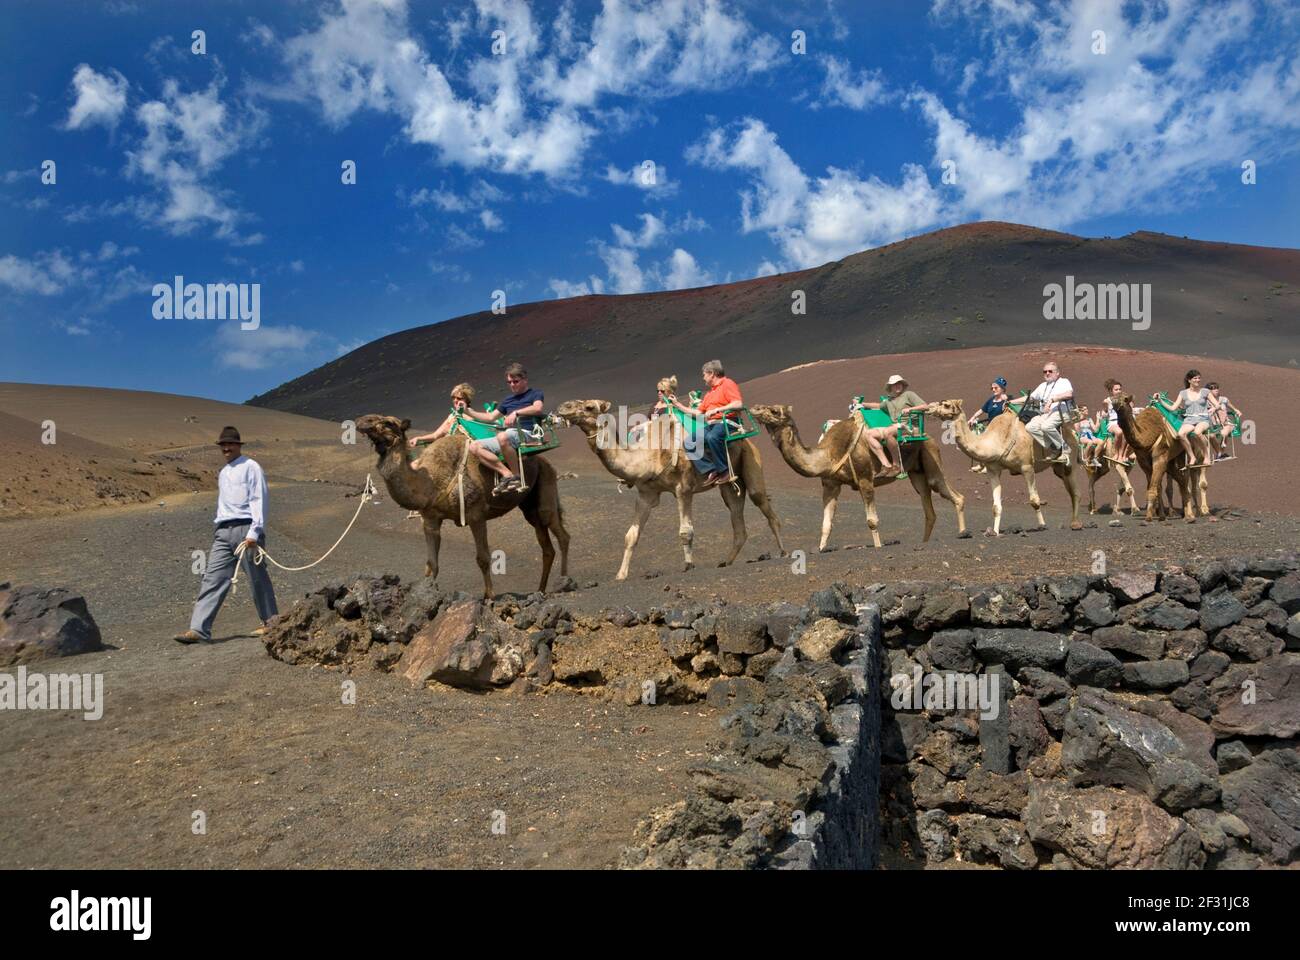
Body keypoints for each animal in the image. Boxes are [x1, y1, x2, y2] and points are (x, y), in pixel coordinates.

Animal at [353, 413, 566, 595]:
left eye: (389, 422)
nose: (361, 420)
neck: (430, 482)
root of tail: (544, 461)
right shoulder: (430, 519)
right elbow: (432, 563)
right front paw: (427, 591)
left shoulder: (475, 513)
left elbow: (483, 558)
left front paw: (489, 597)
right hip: (529, 506)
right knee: (546, 545)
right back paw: (541, 589)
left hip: (546, 486)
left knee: (561, 533)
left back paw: (563, 582)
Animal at [548, 395, 780, 574]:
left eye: (589, 406)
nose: (563, 407)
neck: (650, 454)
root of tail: (744, 436)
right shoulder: (646, 493)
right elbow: (631, 536)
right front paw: (620, 576)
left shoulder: (683, 488)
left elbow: (685, 532)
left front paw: (688, 565)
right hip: (729, 483)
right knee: (736, 513)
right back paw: (726, 561)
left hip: (751, 459)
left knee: (762, 501)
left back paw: (782, 551)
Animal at [743, 403, 967, 548]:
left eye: (774, 410)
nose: (754, 408)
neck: (828, 453)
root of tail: (928, 437)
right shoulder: (830, 485)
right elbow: (826, 524)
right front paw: (821, 549)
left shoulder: (865, 478)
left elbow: (872, 520)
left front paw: (878, 547)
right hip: (915, 473)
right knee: (928, 505)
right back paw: (925, 542)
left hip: (931, 458)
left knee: (952, 493)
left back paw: (963, 533)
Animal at [925, 395, 1086, 530]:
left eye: (946, 404)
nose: (929, 409)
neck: (997, 440)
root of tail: (1073, 432)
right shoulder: (993, 470)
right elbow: (996, 507)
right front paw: (994, 532)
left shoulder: (1027, 466)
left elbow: (1034, 500)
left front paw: (1042, 525)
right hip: (1058, 468)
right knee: (1070, 488)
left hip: (1070, 459)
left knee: (1076, 491)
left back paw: (1076, 524)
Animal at [1112, 392, 1201, 520]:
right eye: (1112, 398)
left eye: (1125, 399)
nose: (1115, 403)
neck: (1146, 436)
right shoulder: (1144, 462)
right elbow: (1155, 487)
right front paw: (1160, 516)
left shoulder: (1160, 456)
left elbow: (1154, 488)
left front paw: (1149, 518)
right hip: (1170, 459)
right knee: (1179, 479)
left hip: (1181, 452)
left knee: (1184, 479)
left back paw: (1189, 515)